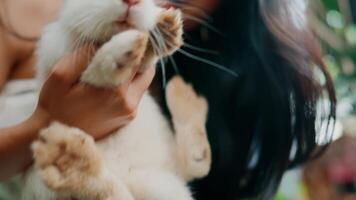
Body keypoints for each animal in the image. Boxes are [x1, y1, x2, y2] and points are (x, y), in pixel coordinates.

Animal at [21, 0, 211, 200]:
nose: (132, 2)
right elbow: (96, 70)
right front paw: (123, 50)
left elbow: (143, 61)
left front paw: (163, 29)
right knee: (114, 192)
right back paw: (70, 157)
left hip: (158, 182)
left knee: (195, 165)